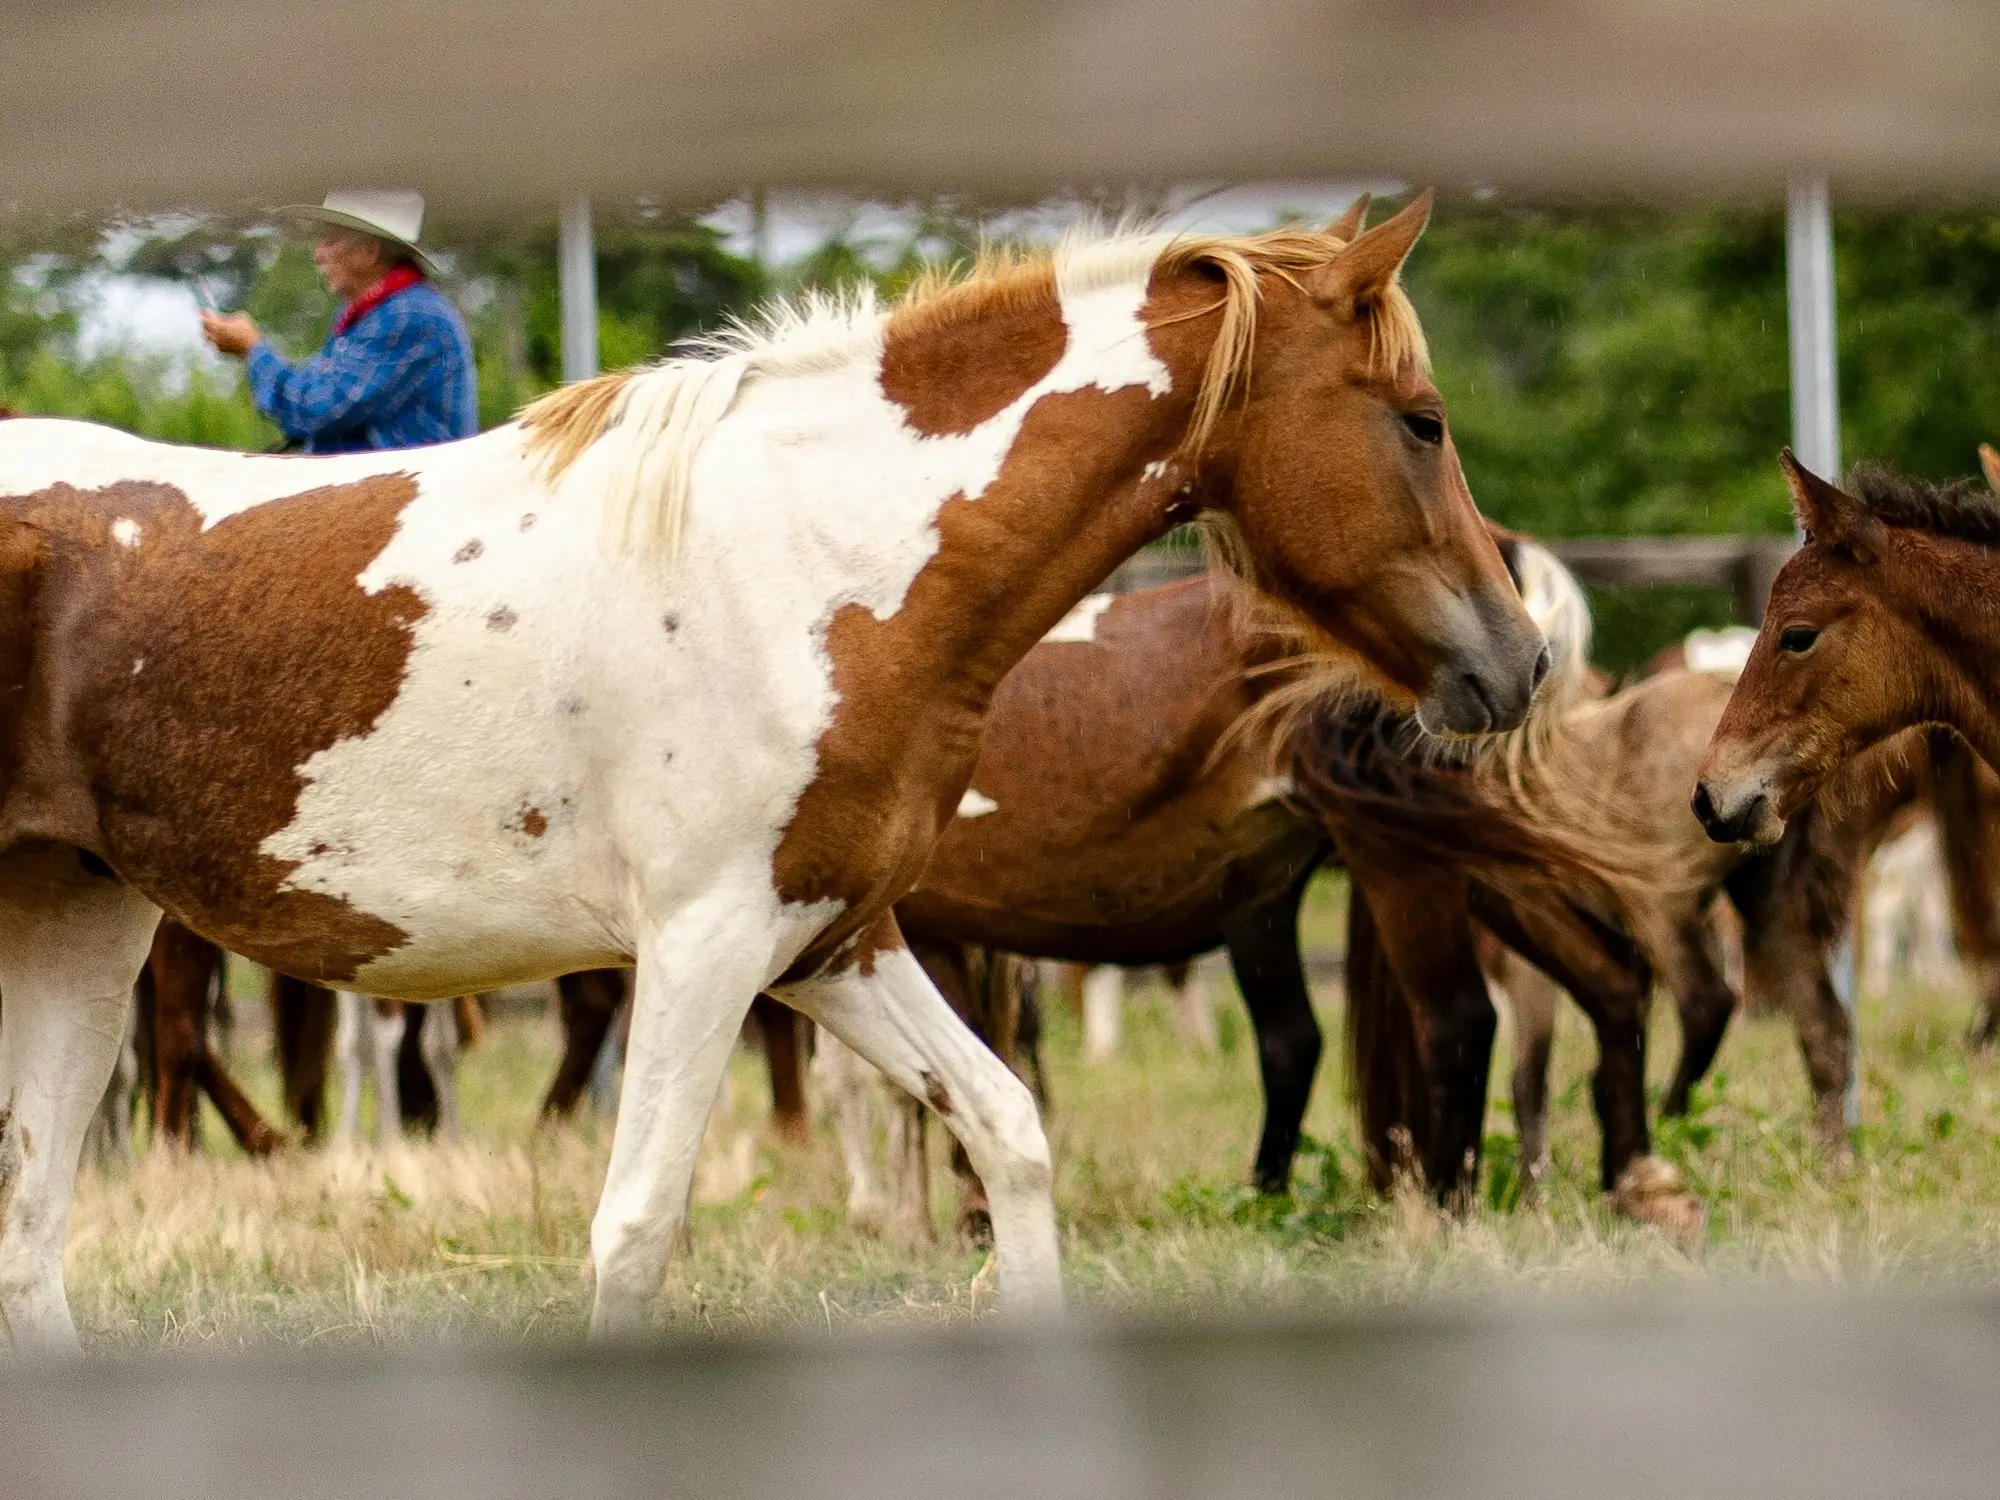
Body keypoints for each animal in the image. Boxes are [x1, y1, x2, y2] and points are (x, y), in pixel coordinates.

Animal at [0, 197, 1544, 1352]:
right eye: (1420, 419)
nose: (1518, 661)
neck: (812, 561)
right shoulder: (701, 950)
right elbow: (636, 1234)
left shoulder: (832, 943)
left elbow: (1010, 1134)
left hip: (86, 933)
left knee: (34, 1235)